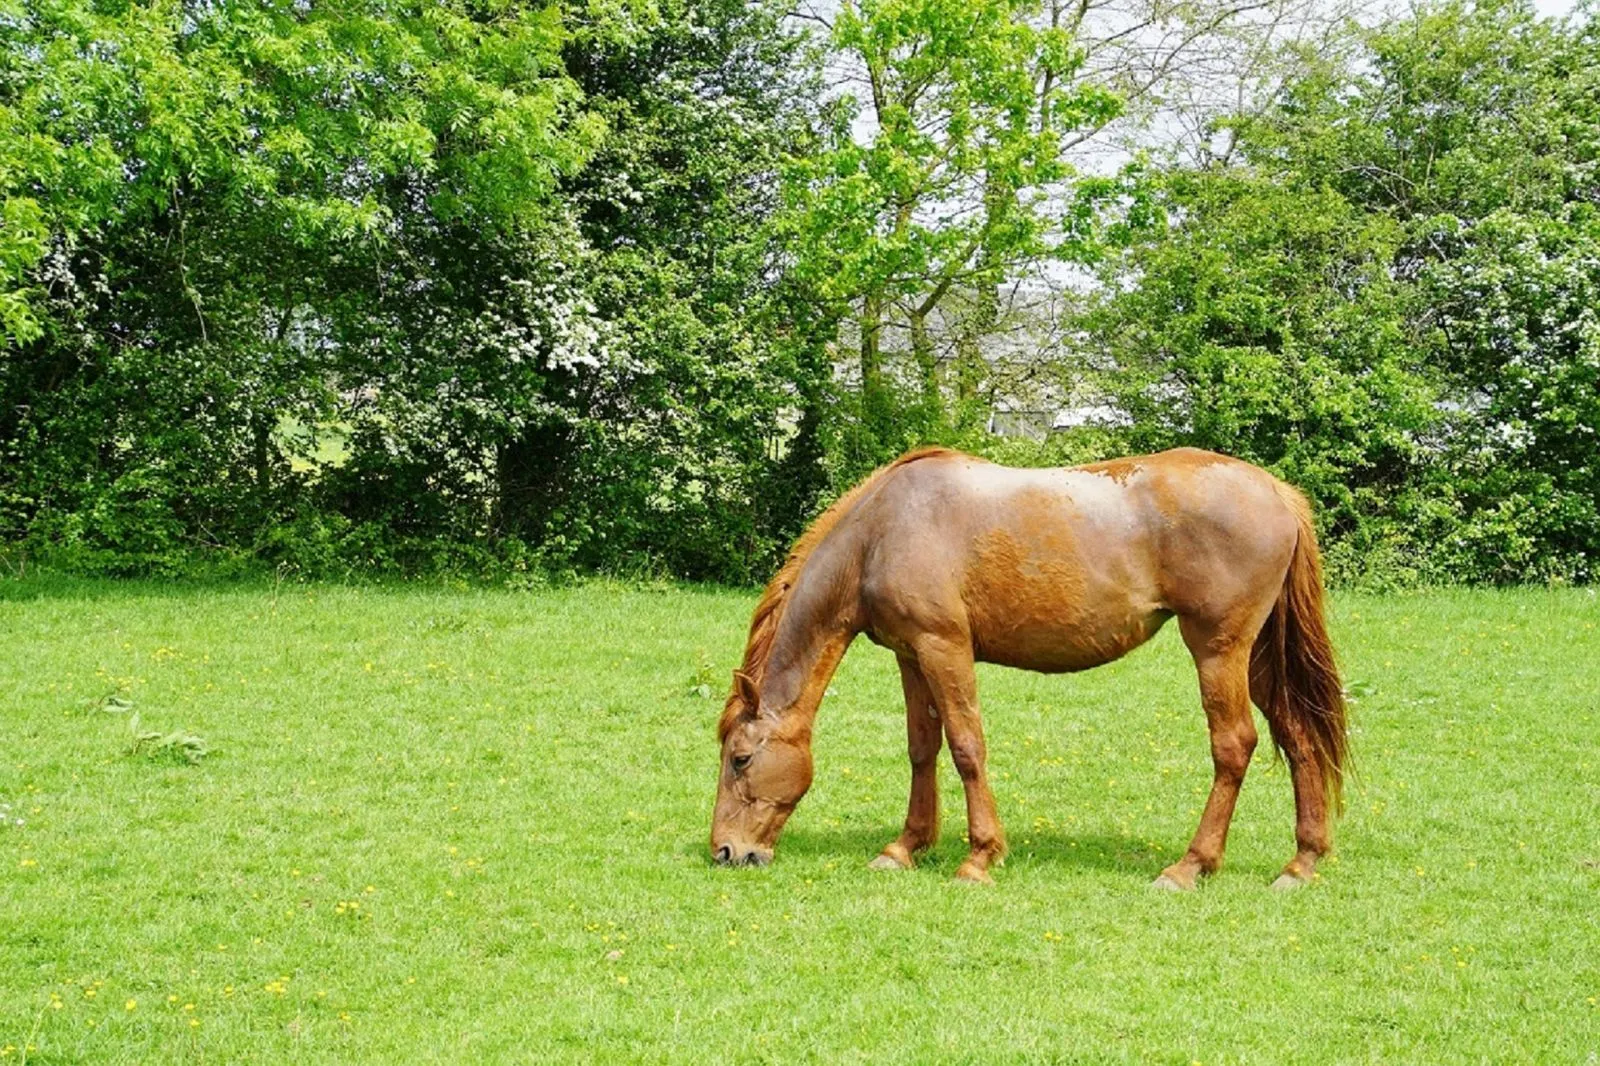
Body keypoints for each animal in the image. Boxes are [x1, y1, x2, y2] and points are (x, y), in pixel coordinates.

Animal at [710, 446, 1348, 889]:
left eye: (741, 758)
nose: (726, 852)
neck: (881, 532)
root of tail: (1278, 492)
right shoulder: (910, 654)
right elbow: (922, 748)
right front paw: (905, 848)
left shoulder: (944, 648)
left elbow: (967, 746)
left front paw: (978, 857)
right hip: (1258, 657)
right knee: (1298, 738)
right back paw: (1301, 863)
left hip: (1218, 650)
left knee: (1234, 745)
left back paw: (1190, 866)